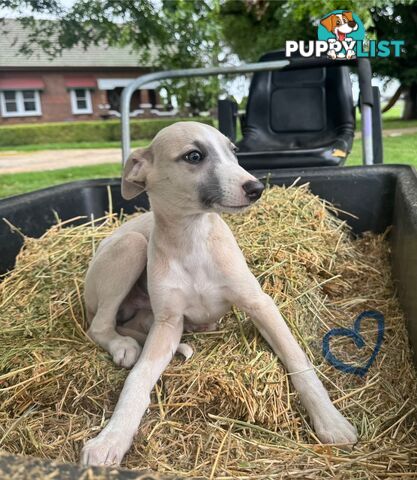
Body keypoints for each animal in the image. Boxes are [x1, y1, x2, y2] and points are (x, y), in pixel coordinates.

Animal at [81, 122, 358, 466]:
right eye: (194, 156)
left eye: (234, 150)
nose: (256, 188)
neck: (193, 240)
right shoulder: (168, 322)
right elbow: (137, 378)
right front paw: (111, 438)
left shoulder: (260, 304)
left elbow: (299, 361)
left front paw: (330, 421)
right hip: (131, 247)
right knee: (99, 326)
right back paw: (122, 345)